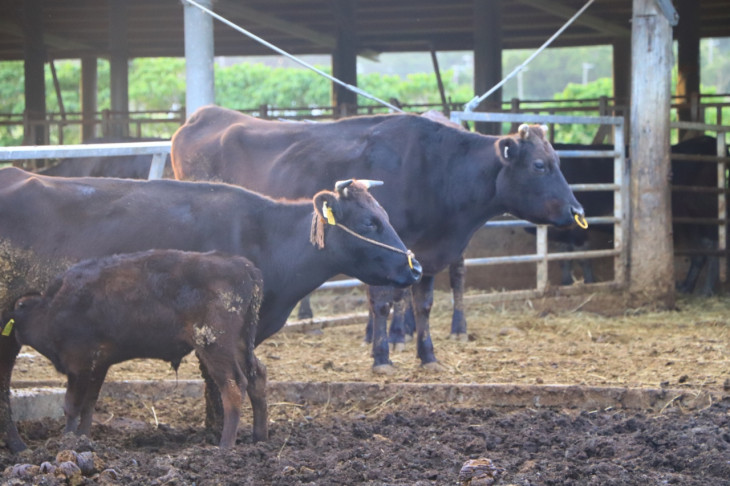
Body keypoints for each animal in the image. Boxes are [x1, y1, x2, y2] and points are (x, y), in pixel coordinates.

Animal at [3, 251, 264, 448]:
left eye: (19, 308)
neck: (50, 308)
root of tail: (241, 264)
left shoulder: (79, 364)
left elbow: (72, 406)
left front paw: (67, 442)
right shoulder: (99, 364)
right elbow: (89, 403)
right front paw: (83, 439)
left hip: (215, 346)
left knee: (233, 386)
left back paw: (225, 446)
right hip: (240, 345)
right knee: (257, 376)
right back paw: (259, 439)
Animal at [171, 105, 584, 372]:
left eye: (559, 162)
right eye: (539, 165)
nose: (577, 210)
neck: (436, 167)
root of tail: (203, 115)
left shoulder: (424, 256)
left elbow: (423, 305)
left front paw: (427, 356)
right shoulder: (383, 253)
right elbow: (384, 304)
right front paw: (383, 356)